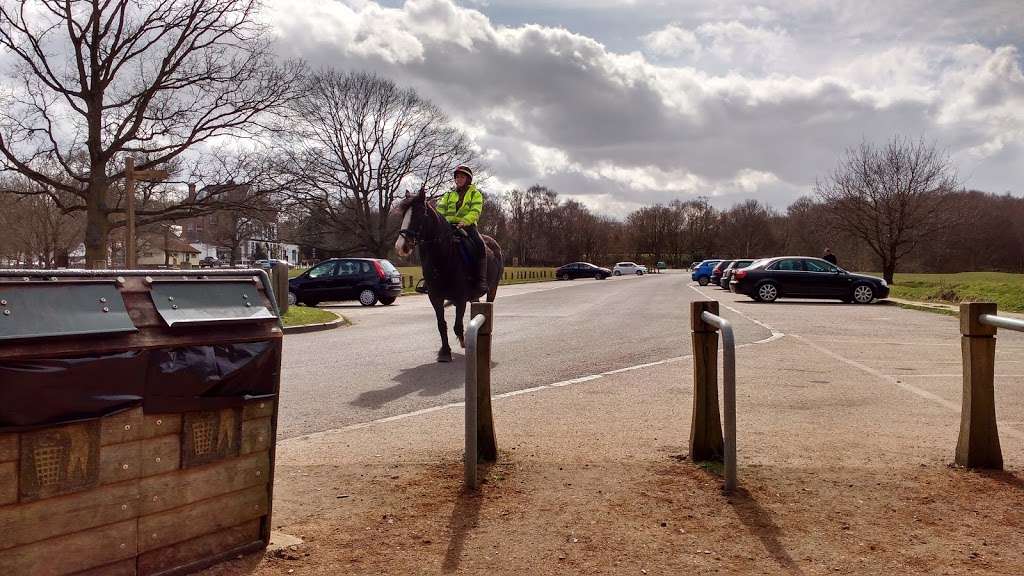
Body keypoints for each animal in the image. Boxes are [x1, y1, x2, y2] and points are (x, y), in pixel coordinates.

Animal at [391, 186, 503, 360]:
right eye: (404, 214)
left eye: (419, 214)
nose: (401, 246)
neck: (445, 256)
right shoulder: (435, 297)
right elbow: (441, 325)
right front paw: (445, 352)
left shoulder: (461, 298)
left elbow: (457, 325)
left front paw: (464, 343)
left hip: (492, 290)